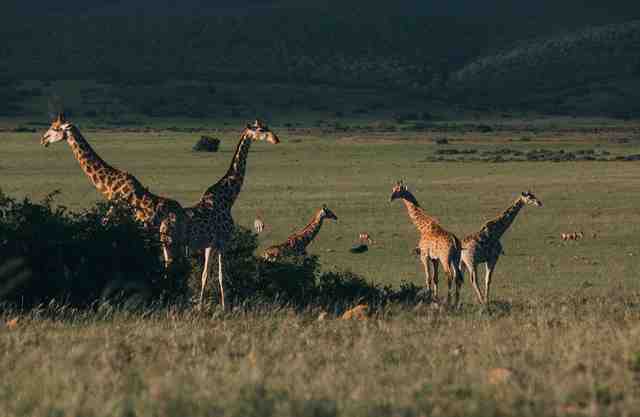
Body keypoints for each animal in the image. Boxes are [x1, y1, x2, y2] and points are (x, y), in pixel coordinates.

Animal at [40, 112, 186, 264]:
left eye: (56, 128)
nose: (43, 139)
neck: (109, 186)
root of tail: (183, 216)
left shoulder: (113, 216)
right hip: (179, 240)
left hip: (167, 237)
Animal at [182, 118, 278, 308]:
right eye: (261, 130)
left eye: (268, 127)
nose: (276, 139)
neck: (227, 198)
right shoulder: (223, 241)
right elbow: (221, 276)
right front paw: (225, 307)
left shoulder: (210, 244)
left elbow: (205, 275)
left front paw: (200, 306)